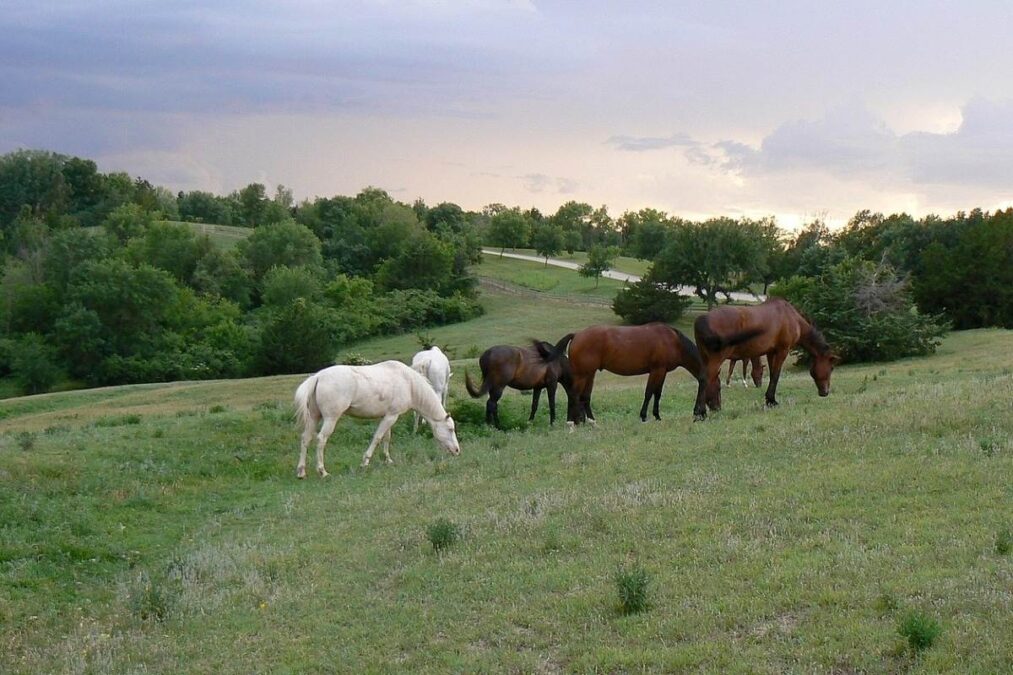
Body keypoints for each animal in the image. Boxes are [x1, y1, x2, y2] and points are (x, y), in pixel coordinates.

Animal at [294, 360, 461, 478]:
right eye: (450, 429)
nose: (457, 450)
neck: (408, 383)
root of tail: (318, 377)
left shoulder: (388, 416)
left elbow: (387, 437)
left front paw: (388, 460)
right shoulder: (392, 416)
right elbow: (378, 437)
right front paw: (365, 462)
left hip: (314, 417)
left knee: (305, 438)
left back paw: (301, 472)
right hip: (330, 418)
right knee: (321, 439)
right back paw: (322, 471)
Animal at [565, 323, 703, 425]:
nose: (699, 415)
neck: (674, 342)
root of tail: (576, 335)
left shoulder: (662, 372)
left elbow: (657, 394)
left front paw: (657, 416)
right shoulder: (657, 370)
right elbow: (649, 393)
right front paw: (643, 416)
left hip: (589, 374)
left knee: (584, 397)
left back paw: (589, 422)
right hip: (582, 375)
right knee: (574, 395)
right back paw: (572, 423)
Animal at [692, 297, 838, 420]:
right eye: (831, 368)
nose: (825, 392)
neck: (791, 318)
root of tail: (700, 320)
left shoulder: (771, 352)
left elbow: (772, 374)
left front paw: (769, 400)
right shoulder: (782, 350)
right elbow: (776, 375)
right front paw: (772, 401)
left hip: (705, 358)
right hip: (716, 358)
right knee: (705, 379)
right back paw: (699, 413)